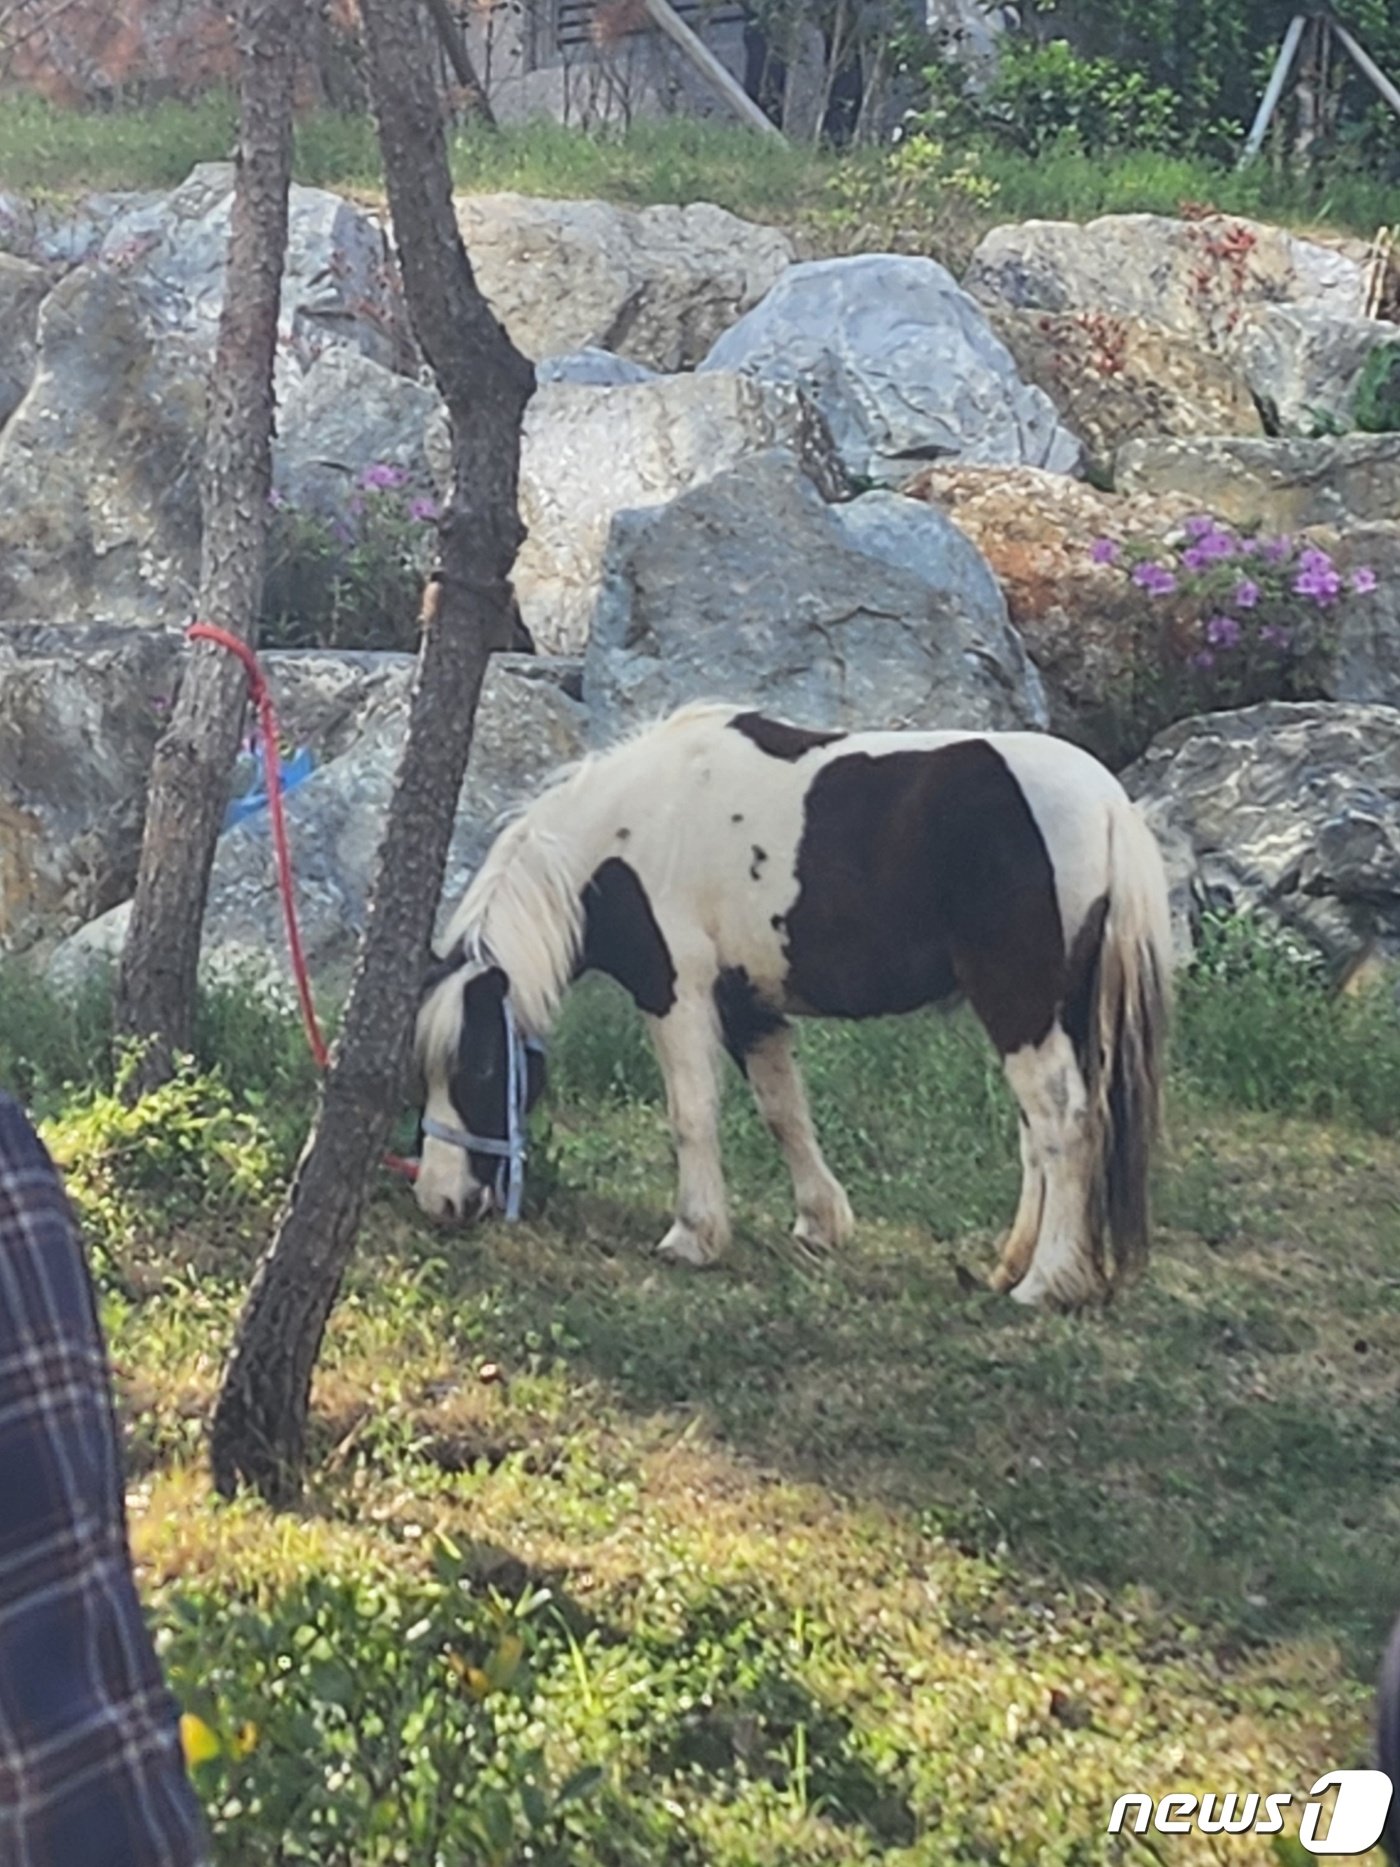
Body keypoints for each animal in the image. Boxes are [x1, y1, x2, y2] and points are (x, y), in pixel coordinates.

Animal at [414, 701, 1172, 1314]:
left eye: (481, 1068)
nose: (440, 1201)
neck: (633, 832)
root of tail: (1109, 804)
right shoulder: (748, 1004)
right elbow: (784, 1110)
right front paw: (820, 1223)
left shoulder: (676, 992)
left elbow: (691, 1113)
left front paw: (693, 1235)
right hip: (1056, 1010)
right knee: (1039, 1131)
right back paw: (1012, 1265)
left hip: (1018, 1004)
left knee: (1063, 1119)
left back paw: (1046, 1281)